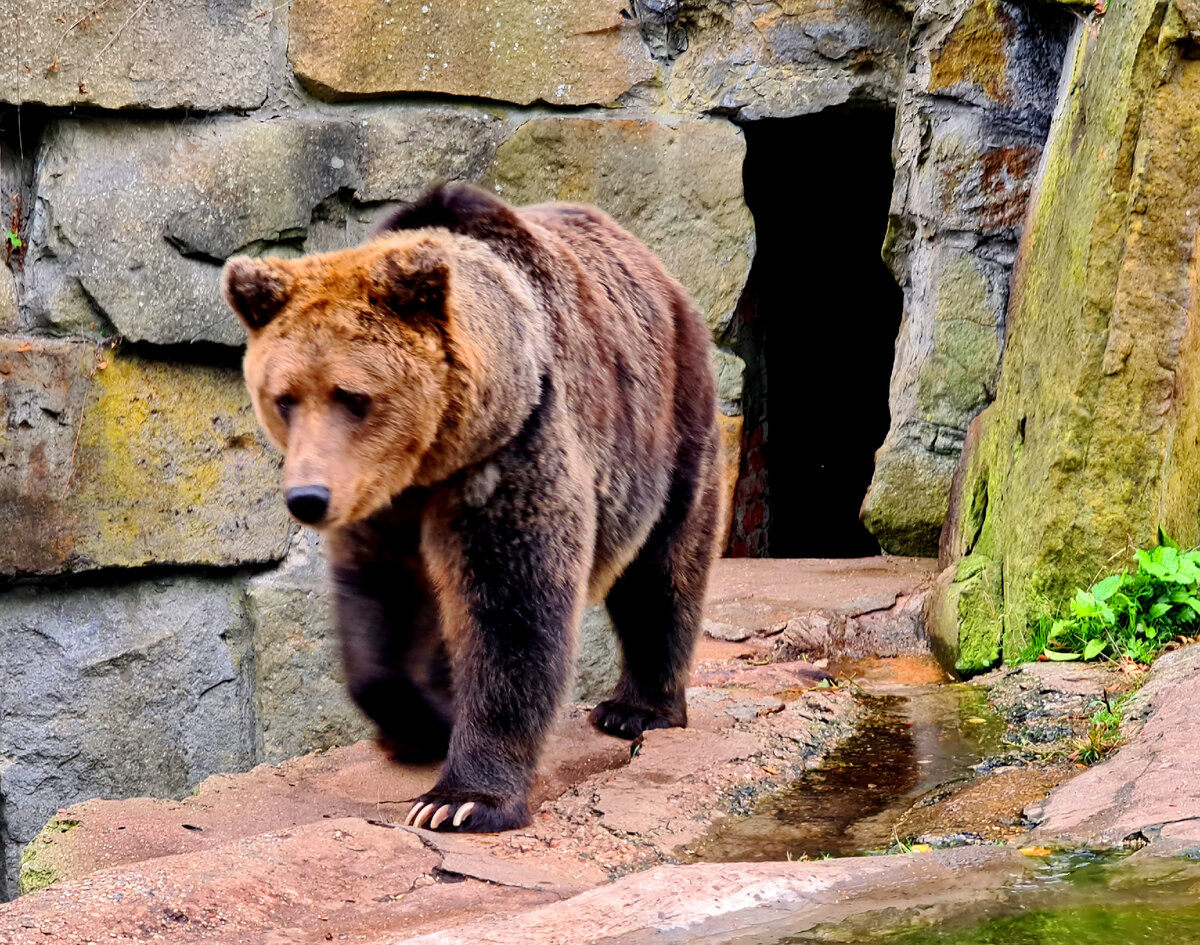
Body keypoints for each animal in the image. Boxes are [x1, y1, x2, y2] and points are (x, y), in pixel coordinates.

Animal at [220, 181, 720, 829]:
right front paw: (421, 723)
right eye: (284, 398)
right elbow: (380, 613)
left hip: (667, 418)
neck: (434, 457)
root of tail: (653, 263)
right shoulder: (382, 506)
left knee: (662, 571)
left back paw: (636, 709)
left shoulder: (513, 452)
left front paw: (459, 800)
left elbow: (512, 608)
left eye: (352, 396)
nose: (308, 497)